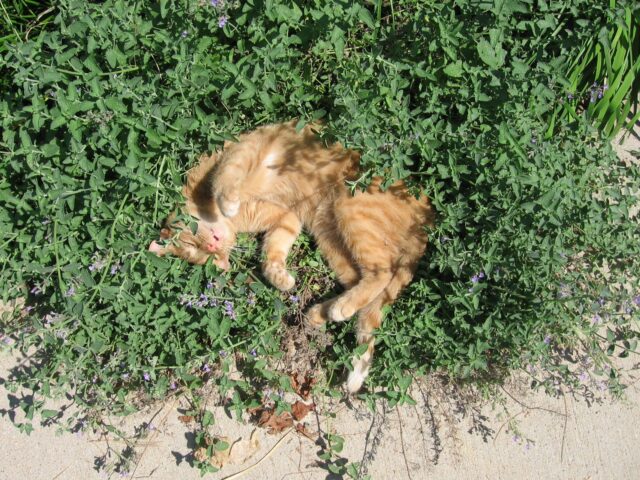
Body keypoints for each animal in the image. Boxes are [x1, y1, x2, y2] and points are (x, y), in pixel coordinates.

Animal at [151, 123, 436, 394]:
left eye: (192, 245)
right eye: (207, 259)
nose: (214, 250)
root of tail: (427, 217)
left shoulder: (247, 150)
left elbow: (225, 176)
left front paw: (227, 200)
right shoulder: (287, 217)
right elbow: (271, 255)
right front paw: (281, 279)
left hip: (351, 212)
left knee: (382, 272)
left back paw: (336, 309)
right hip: (332, 236)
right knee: (367, 287)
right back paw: (325, 312)